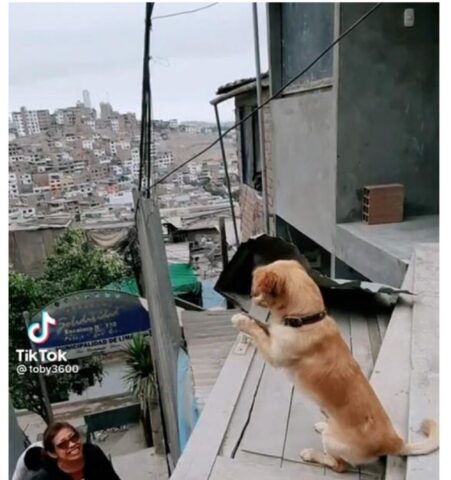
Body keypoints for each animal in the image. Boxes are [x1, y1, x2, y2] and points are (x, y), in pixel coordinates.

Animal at [231, 258, 440, 472]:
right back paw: (323, 425)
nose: (250, 295)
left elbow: (258, 331)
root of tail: (394, 442)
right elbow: (263, 326)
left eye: (256, 287)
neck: (307, 319)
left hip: (332, 442)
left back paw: (312, 454)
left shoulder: (274, 354)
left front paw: (241, 320)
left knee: (337, 465)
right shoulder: (275, 333)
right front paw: (250, 319)